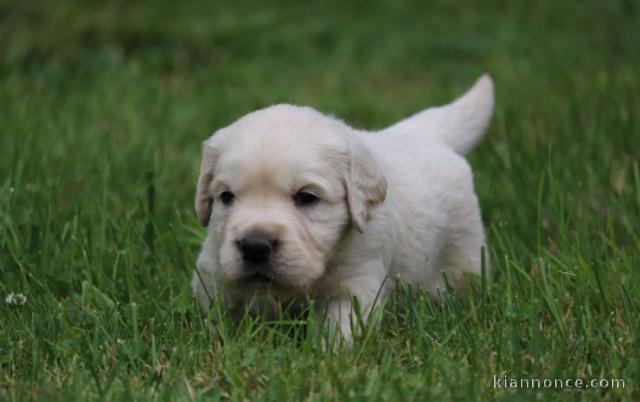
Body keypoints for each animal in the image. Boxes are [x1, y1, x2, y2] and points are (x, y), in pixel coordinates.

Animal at [192, 75, 492, 342]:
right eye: (226, 197)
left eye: (307, 197)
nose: (255, 246)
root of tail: (420, 133)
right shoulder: (213, 269)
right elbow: (217, 314)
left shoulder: (356, 283)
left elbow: (338, 328)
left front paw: (326, 356)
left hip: (464, 254)